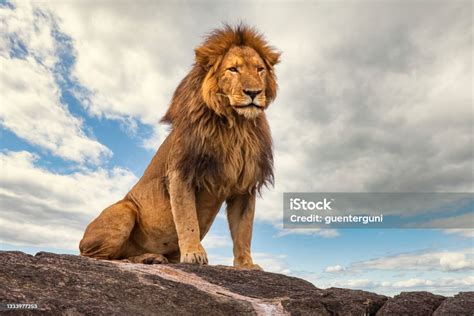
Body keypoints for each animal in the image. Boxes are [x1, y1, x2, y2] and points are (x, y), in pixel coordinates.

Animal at [79, 24, 280, 270]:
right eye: (233, 69)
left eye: (260, 70)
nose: (253, 93)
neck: (236, 126)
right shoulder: (181, 173)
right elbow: (187, 219)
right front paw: (194, 254)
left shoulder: (244, 186)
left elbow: (244, 230)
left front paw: (246, 265)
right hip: (124, 211)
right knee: (99, 257)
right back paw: (144, 258)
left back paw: (152, 257)